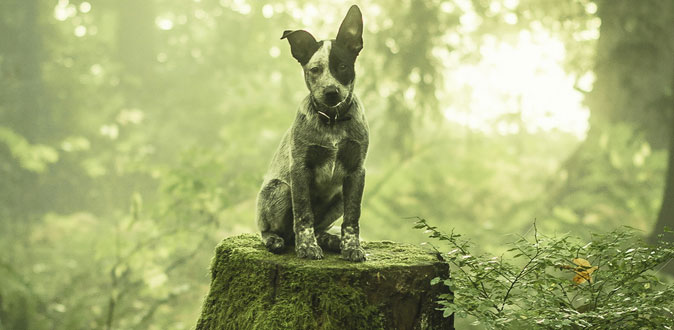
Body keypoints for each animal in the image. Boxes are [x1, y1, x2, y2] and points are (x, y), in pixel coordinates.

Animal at [255, 5, 368, 262]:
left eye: (342, 67)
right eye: (315, 70)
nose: (331, 92)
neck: (332, 120)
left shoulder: (356, 172)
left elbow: (352, 218)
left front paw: (351, 247)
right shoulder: (300, 169)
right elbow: (304, 214)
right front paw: (307, 247)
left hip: (338, 197)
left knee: (319, 227)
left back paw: (329, 240)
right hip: (280, 190)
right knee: (270, 229)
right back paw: (276, 240)